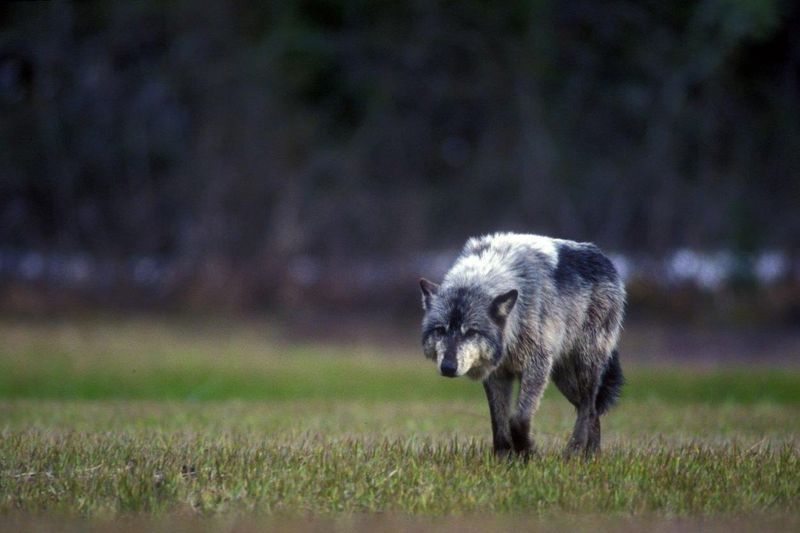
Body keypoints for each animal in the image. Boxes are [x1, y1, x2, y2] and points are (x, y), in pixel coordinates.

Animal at [418, 233, 624, 458]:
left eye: (471, 332)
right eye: (440, 330)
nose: (448, 367)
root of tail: (604, 259)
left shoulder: (536, 367)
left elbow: (518, 419)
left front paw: (527, 453)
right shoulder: (497, 374)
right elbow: (498, 422)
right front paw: (503, 458)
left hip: (584, 366)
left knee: (588, 406)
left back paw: (574, 452)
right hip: (563, 377)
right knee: (592, 410)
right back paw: (591, 457)